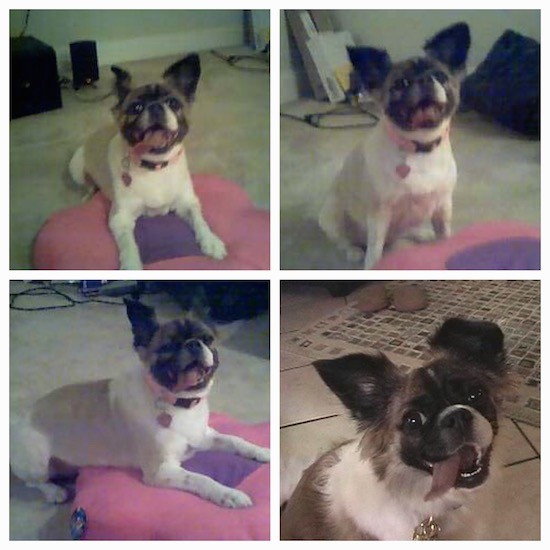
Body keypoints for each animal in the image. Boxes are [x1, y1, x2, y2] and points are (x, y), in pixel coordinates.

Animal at [11, 302, 272, 508]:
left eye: (208, 340)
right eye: (167, 347)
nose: (194, 344)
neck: (178, 404)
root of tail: (20, 421)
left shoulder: (205, 437)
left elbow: (235, 440)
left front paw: (262, 451)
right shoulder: (162, 471)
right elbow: (201, 478)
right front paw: (229, 494)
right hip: (37, 461)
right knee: (34, 482)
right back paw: (54, 491)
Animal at [68, 54, 226, 272]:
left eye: (173, 103)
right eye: (136, 107)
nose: (156, 106)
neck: (155, 167)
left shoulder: (187, 203)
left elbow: (199, 220)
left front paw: (211, 241)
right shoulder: (120, 219)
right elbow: (128, 244)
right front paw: (131, 266)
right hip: (76, 166)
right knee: (88, 183)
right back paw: (87, 194)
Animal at [322, 23, 472, 270]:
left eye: (440, 76)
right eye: (401, 84)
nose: (425, 80)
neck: (420, 147)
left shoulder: (442, 206)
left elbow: (444, 235)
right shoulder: (379, 214)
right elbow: (374, 251)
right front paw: (371, 266)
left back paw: (422, 234)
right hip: (332, 215)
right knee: (344, 241)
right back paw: (354, 250)